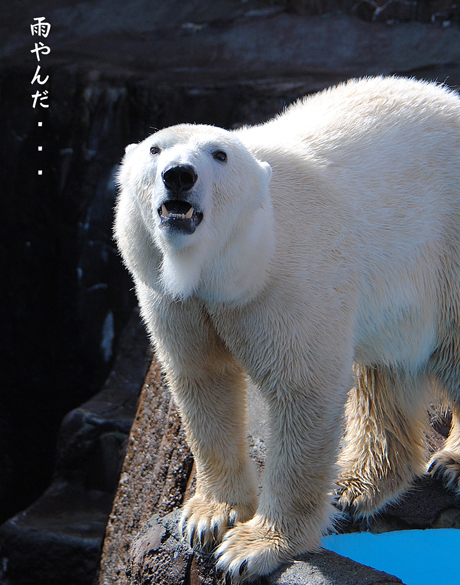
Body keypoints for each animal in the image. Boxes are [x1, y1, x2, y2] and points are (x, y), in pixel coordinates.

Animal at [113, 76, 460, 580]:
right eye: (156, 149)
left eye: (220, 154)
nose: (179, 174)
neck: (223, 268)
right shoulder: (175, 300)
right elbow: (202, 381)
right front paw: (208, 516)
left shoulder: (290, 280)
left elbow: (303, 390)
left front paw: (252, 547)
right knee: (382, 373)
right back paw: (356, 484)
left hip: (445, 253)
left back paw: (448, 463)